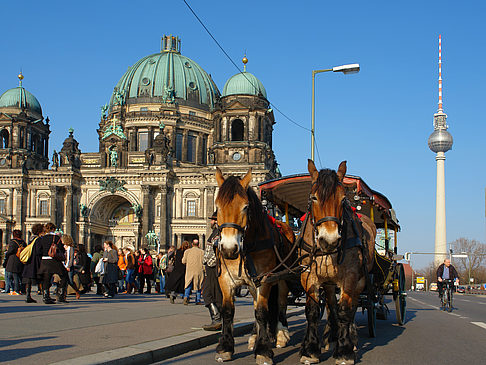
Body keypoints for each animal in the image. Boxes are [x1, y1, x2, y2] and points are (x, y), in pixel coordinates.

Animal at [215, 167, 294, 364]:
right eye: (217, 207)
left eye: (245, 207)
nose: (229, 249)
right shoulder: (226, 280)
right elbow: (228, 312)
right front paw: (225, 347)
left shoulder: (265, 280)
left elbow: (262, 312)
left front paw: (263, 350)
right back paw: (253, 337)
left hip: (283, 278)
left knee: (280, 304)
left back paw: (281, 334)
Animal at [300, 160, 376, 364]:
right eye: (313, 197)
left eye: (342, 199)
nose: (330, 239)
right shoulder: (309, 276)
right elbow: (312, 311)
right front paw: (310, 350)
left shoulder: (351, 277)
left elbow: (345, 311)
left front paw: (344, 350)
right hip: (328, 282)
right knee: (331, 305)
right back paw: (330, 335)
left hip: (361, 281)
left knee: (351, 308)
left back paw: (351, 338)